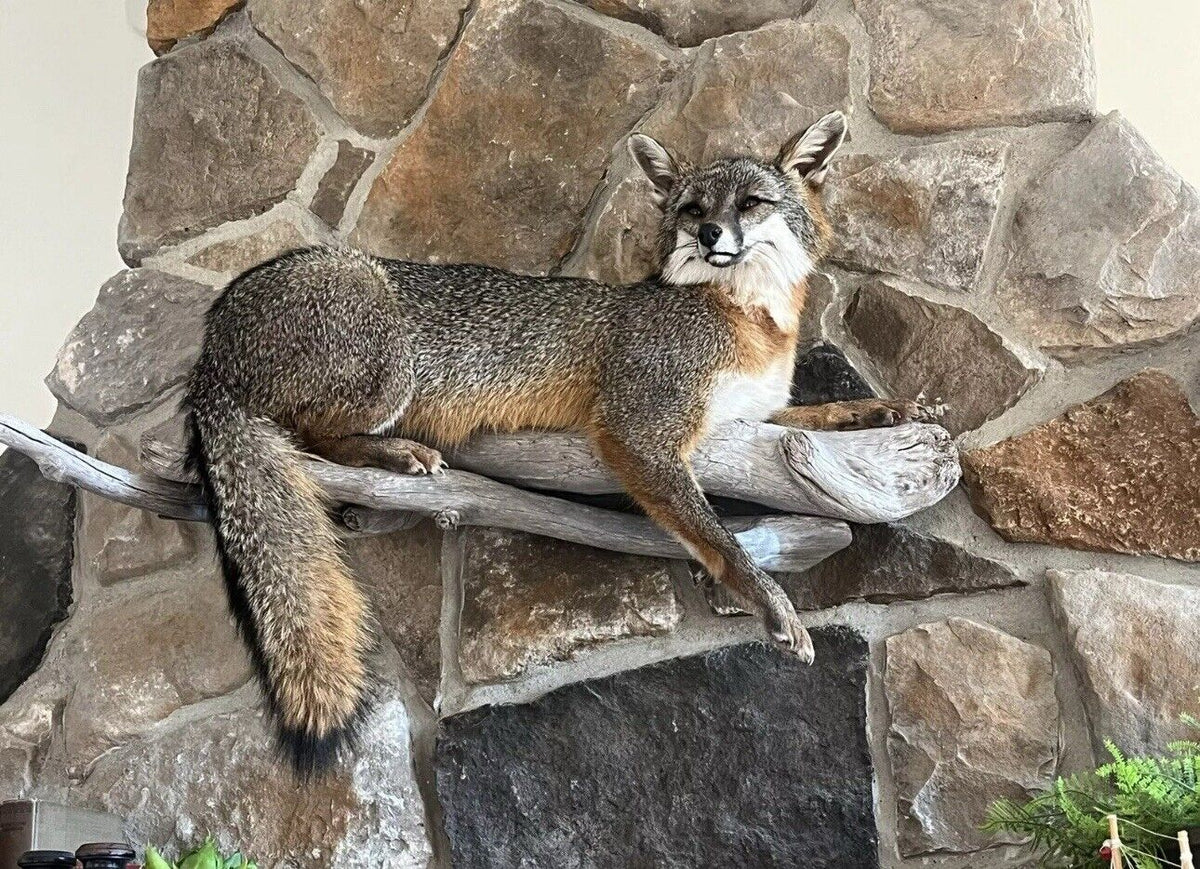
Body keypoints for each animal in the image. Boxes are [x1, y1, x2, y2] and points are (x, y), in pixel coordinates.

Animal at [186, 110, 931, 774]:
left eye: (751, 202)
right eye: (693, 209)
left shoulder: (751, 421)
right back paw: (393, 452)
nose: (712, 232)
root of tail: (209, 343)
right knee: (309, 436)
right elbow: (719, 538)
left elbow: (820, 414)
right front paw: (772, 605)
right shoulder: (640, 429)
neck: (749, 319)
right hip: (388, 361)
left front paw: (886, 408)